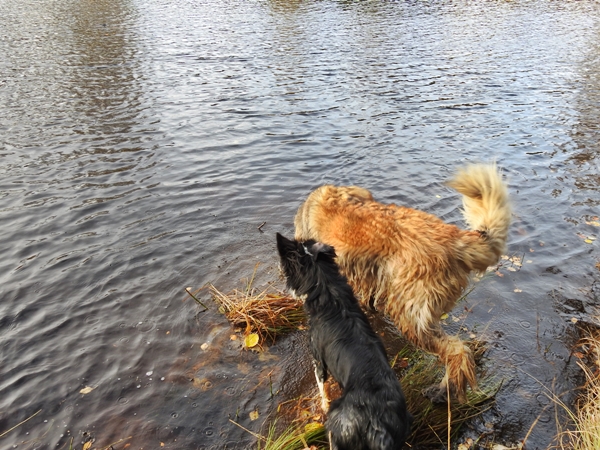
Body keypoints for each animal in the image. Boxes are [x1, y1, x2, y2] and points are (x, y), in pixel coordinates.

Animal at [276, 234, 412, 448]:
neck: (328, 291)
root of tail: (377, 427)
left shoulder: (318, 360)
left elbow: (322, 388)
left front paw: (322, 404)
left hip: (336, 432)